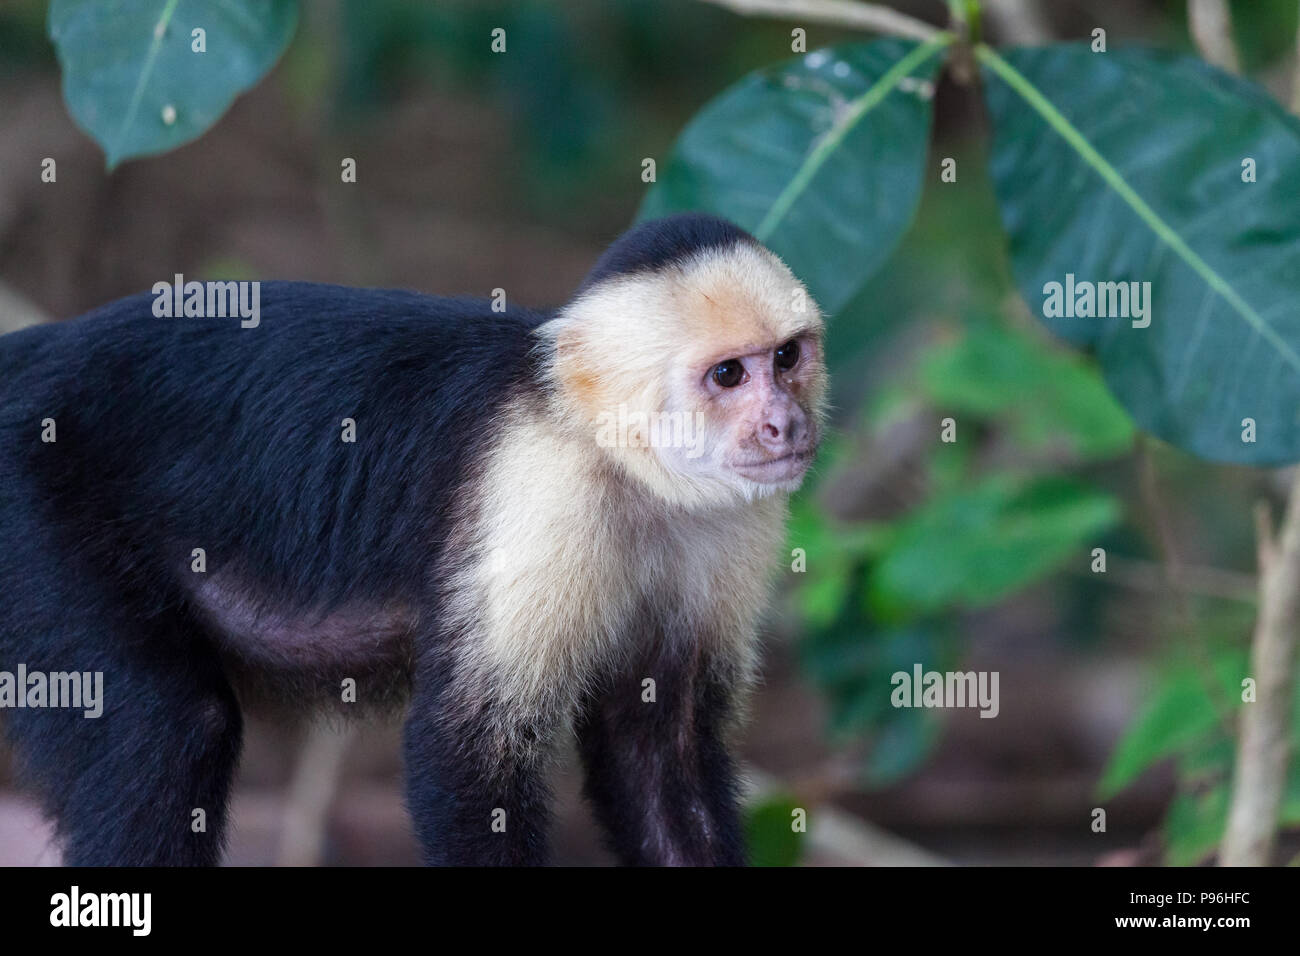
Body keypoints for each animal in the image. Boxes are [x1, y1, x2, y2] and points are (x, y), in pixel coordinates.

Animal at [0, 213, 826, 866]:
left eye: (787, 356)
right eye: (728, 375)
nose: (784, 425)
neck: (621, 462)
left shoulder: (730, 523)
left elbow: (658, 750)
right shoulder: (539, 490)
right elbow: (466, 753)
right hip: (29, 499)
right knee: (166, 727)